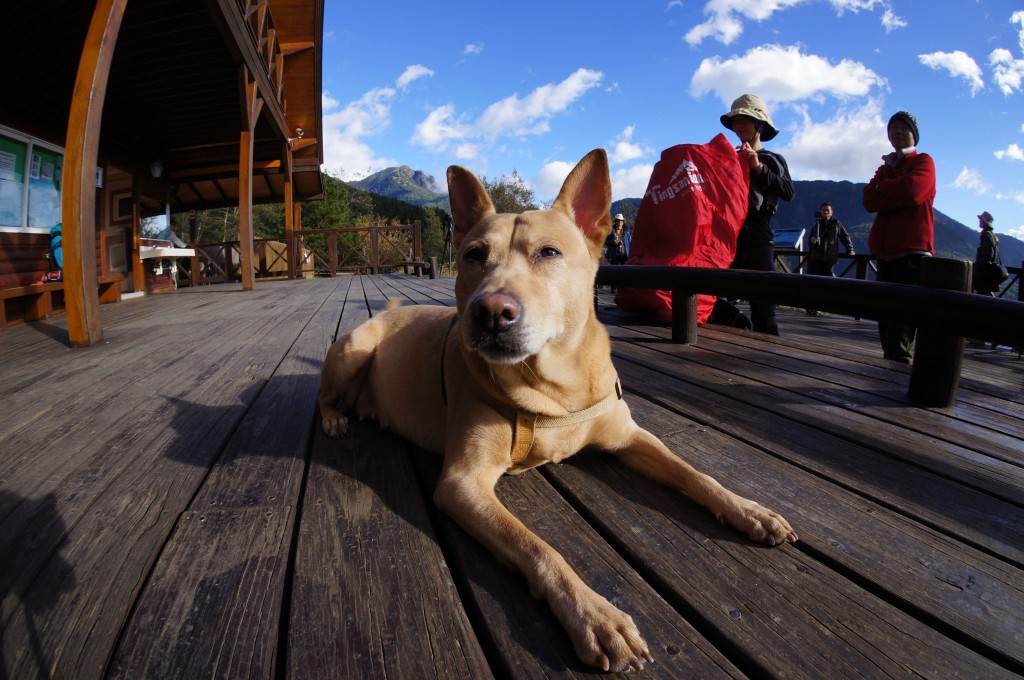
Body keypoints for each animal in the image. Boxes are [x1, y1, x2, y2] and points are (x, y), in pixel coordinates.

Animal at [319, 147, 798, 667]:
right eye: (473, 256)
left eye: (548, 253)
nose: (490, 312)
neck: (553, 385)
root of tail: (391, 310)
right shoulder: (463, 483)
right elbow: (537, 546)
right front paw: (595, 615)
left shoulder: (632, 437)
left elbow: (694, 473)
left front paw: (747, 508)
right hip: (353, 349)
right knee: (325, 394)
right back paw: (335, 418)